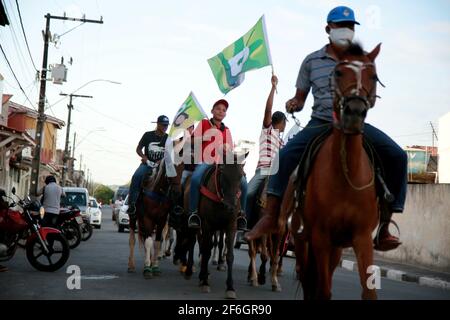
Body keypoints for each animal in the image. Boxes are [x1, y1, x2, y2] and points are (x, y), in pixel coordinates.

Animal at [290, 43, 384, 300]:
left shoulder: (361, 237)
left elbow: (369, 292)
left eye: (374, 76)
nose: (354, 112)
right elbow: (322, 291)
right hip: (303, 240)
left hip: (337, 247)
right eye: (339, 73)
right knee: (307, 278)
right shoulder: (320, 236)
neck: (345, 174)